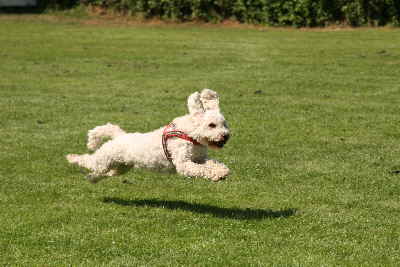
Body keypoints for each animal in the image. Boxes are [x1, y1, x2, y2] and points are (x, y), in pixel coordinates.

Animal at [67, 89, 231, 183]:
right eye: (212, 125)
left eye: (224, 124)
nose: (225, 136)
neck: (189, 135)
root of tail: (119, 136)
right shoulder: (183, 163)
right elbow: (199, 169)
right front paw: (216, 174)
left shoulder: (200, 159)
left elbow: (212, 163)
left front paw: (221, 172)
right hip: (104, 159)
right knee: (88, 161)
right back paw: (72, 157)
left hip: (122, 166)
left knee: (107, 173)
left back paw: (92, 179)